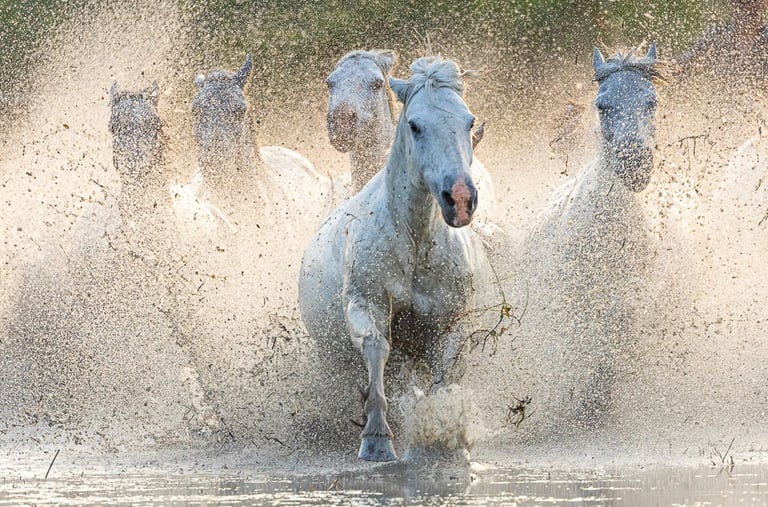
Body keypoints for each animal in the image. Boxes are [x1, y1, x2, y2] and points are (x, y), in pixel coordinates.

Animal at [518, 45, 664, 434]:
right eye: (602, 105)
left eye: (651, 101)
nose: (634, 164)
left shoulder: (626, 302)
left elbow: (611, 344)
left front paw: (599, 403)